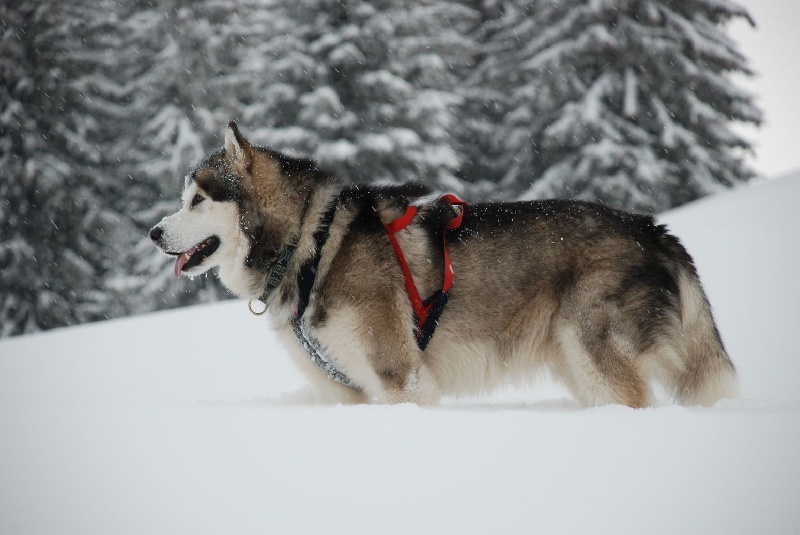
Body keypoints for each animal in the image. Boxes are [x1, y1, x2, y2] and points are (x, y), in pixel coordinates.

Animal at [148, 123, 736, 408]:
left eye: (196, 200)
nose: (154, 233)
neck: (309, 244)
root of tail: (653, 228)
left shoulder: (400, 380)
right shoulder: (347, 391)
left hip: (595, 353)